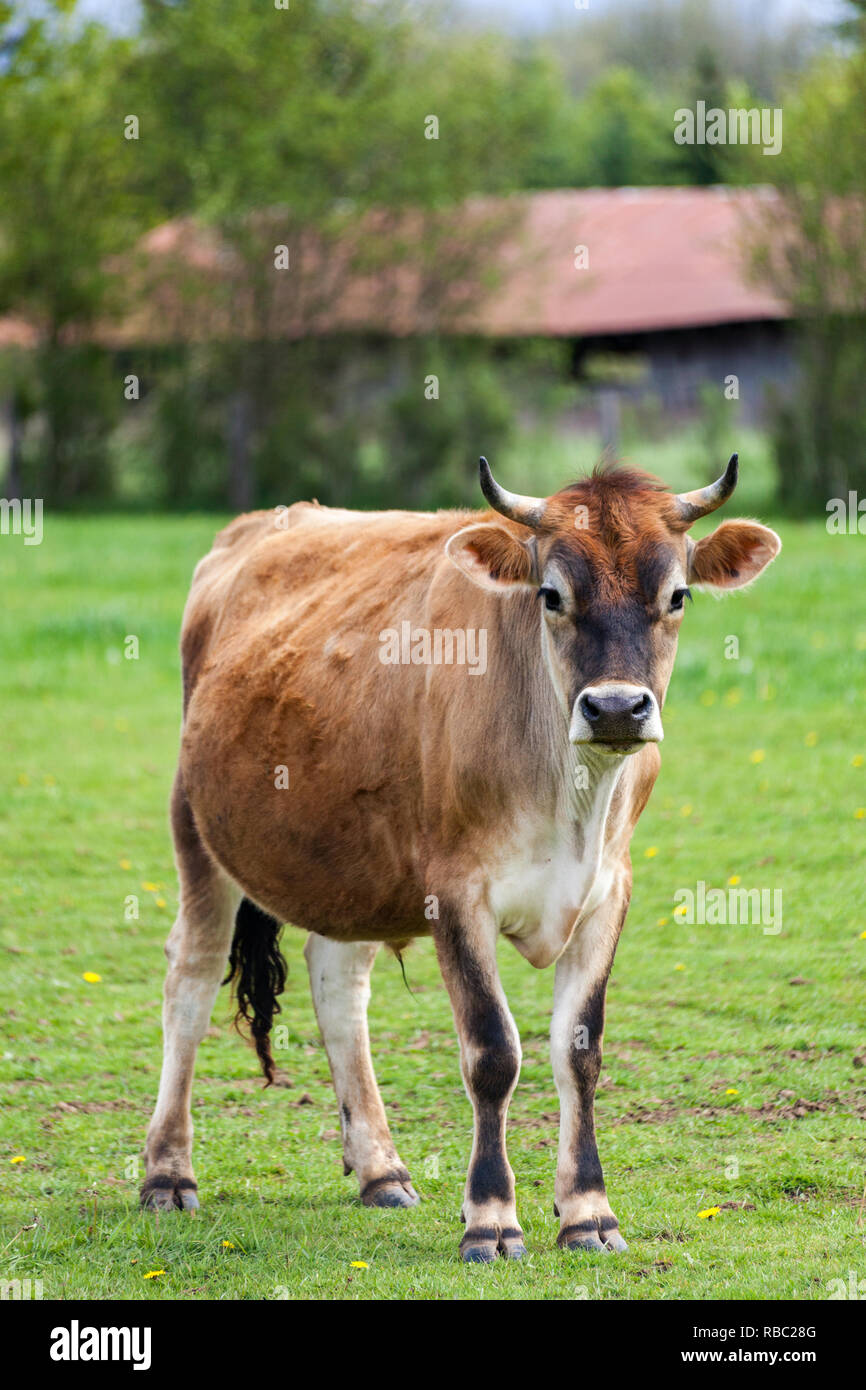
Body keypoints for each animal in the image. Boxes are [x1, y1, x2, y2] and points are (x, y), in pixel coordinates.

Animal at [141, 455, 780, 1261]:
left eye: (677, 594)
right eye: (551, 594)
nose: (614, 708)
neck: (567, 795)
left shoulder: (609, 890)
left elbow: (580, 1051)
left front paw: (589, 1212)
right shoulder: (455, 891)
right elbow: (492, 1051)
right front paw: (492, 1218)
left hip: (348, 860)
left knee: (338, 985)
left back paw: (380, 1170)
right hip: (197, 827)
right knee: (190, 980)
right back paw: (167, 1173)